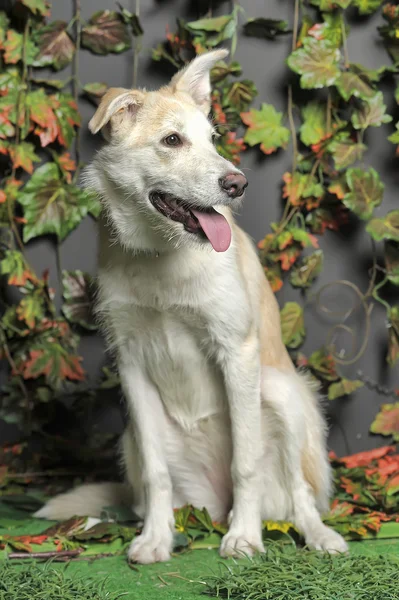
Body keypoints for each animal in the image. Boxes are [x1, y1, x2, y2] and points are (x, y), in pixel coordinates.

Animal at [37, 49, 350, 564]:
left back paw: (314, 533)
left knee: (301, 494)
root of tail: (215, 504)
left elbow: (245, 461)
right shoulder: (131, 363)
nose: (238, 184)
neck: (161, 254)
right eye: (172, 140)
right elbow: (157, 474)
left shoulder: (237, 351)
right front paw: (155, 539)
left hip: (281, 393)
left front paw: (244, 537)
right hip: (133, 438)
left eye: (212, 140)